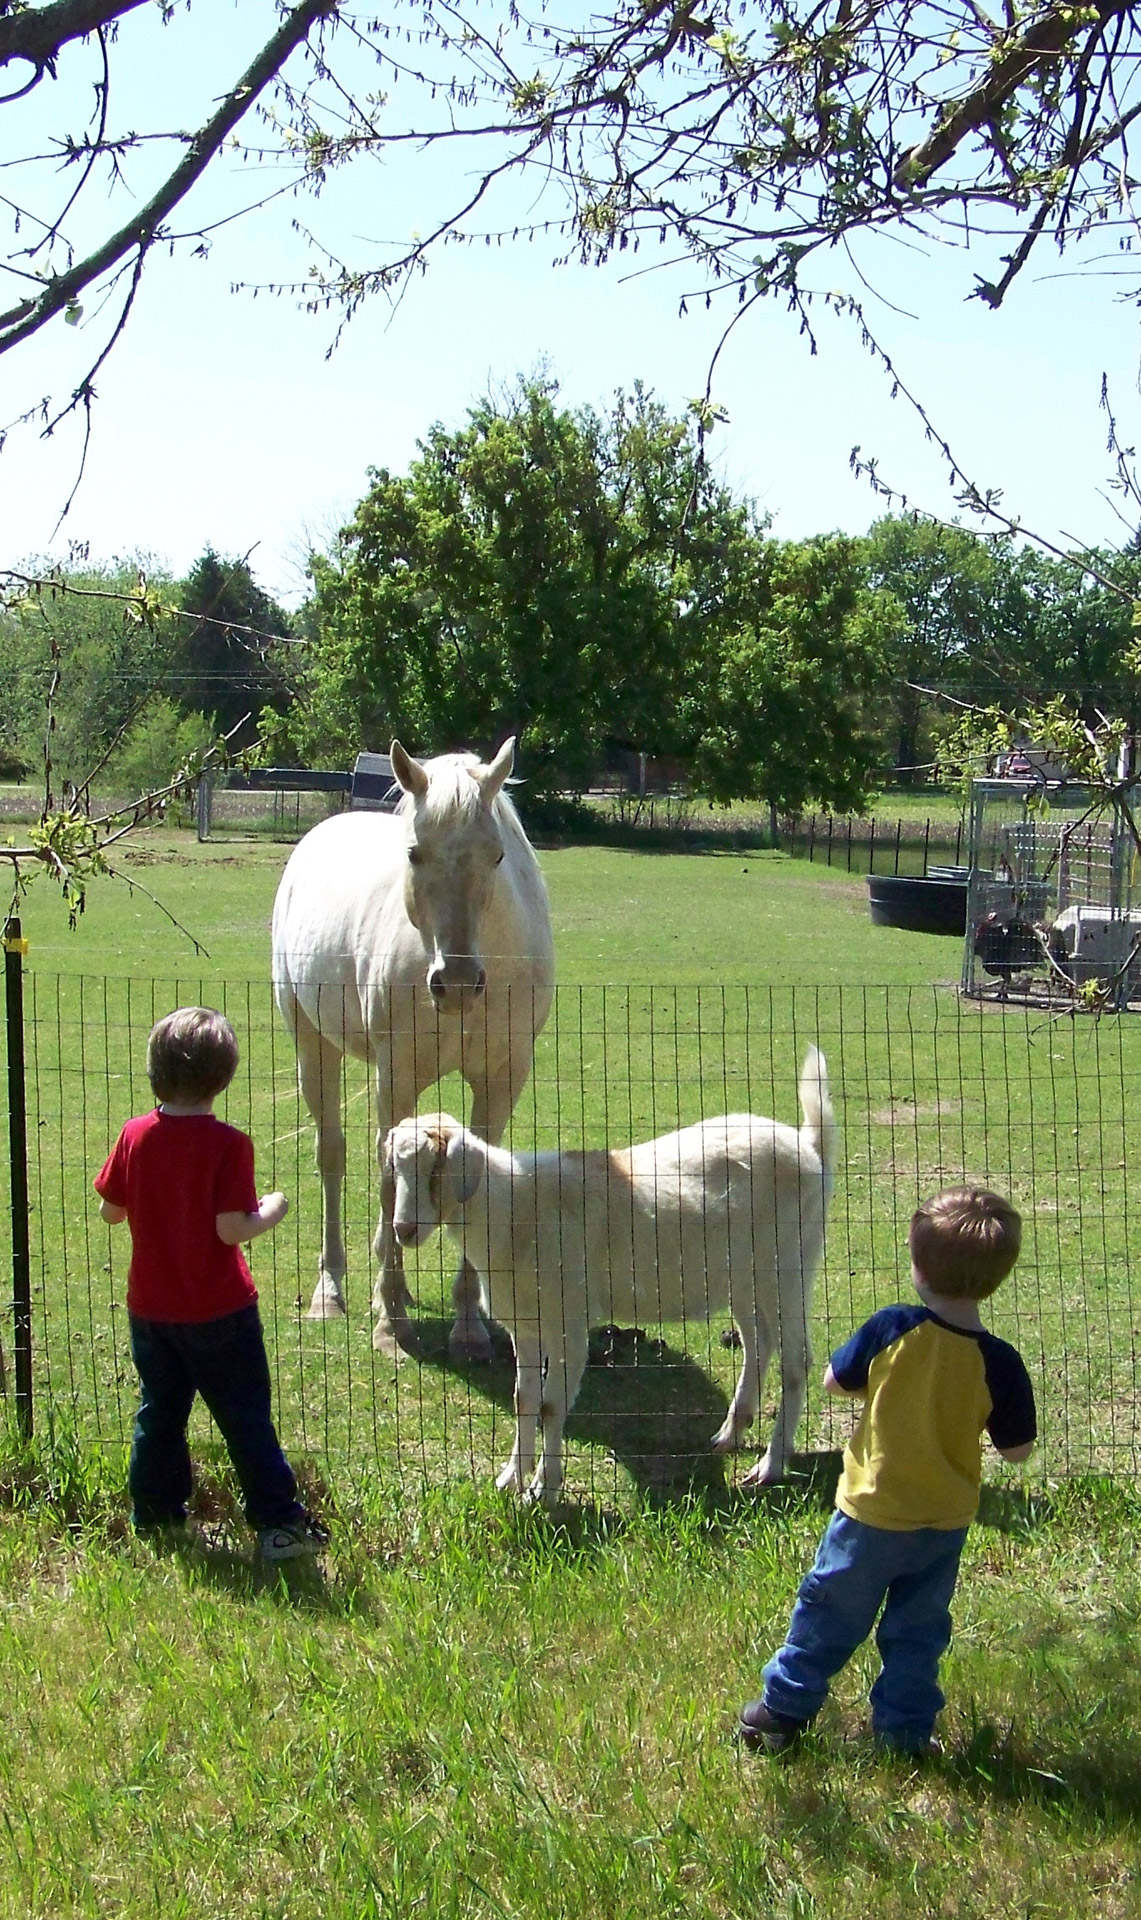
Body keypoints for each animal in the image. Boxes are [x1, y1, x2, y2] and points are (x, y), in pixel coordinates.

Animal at [267, 737, 549, 1367]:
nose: (458, 985)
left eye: (497, 855)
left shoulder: (504, 1078)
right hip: (311, 1047)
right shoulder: (395, 1077)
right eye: (415, 854)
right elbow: (382, 1176)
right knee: (332, 1156)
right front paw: (391, 1324)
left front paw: (468, 1325)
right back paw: (334, 1291)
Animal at [386, 1052, 829, 1497]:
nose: (404, 1230)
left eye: (436, 1168)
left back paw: (771, 1465)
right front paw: (511, 1478)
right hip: (745, 1279)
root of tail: (810, 1149)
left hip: (789, 1269)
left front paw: (544, 1490)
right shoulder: (525, 1326)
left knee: (795, 1362)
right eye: (396, 1169)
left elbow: (550, 1407)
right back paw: (729, 1435)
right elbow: (523, 1401)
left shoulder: (569, 1323)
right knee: (759, 1345)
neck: (513, 1209)